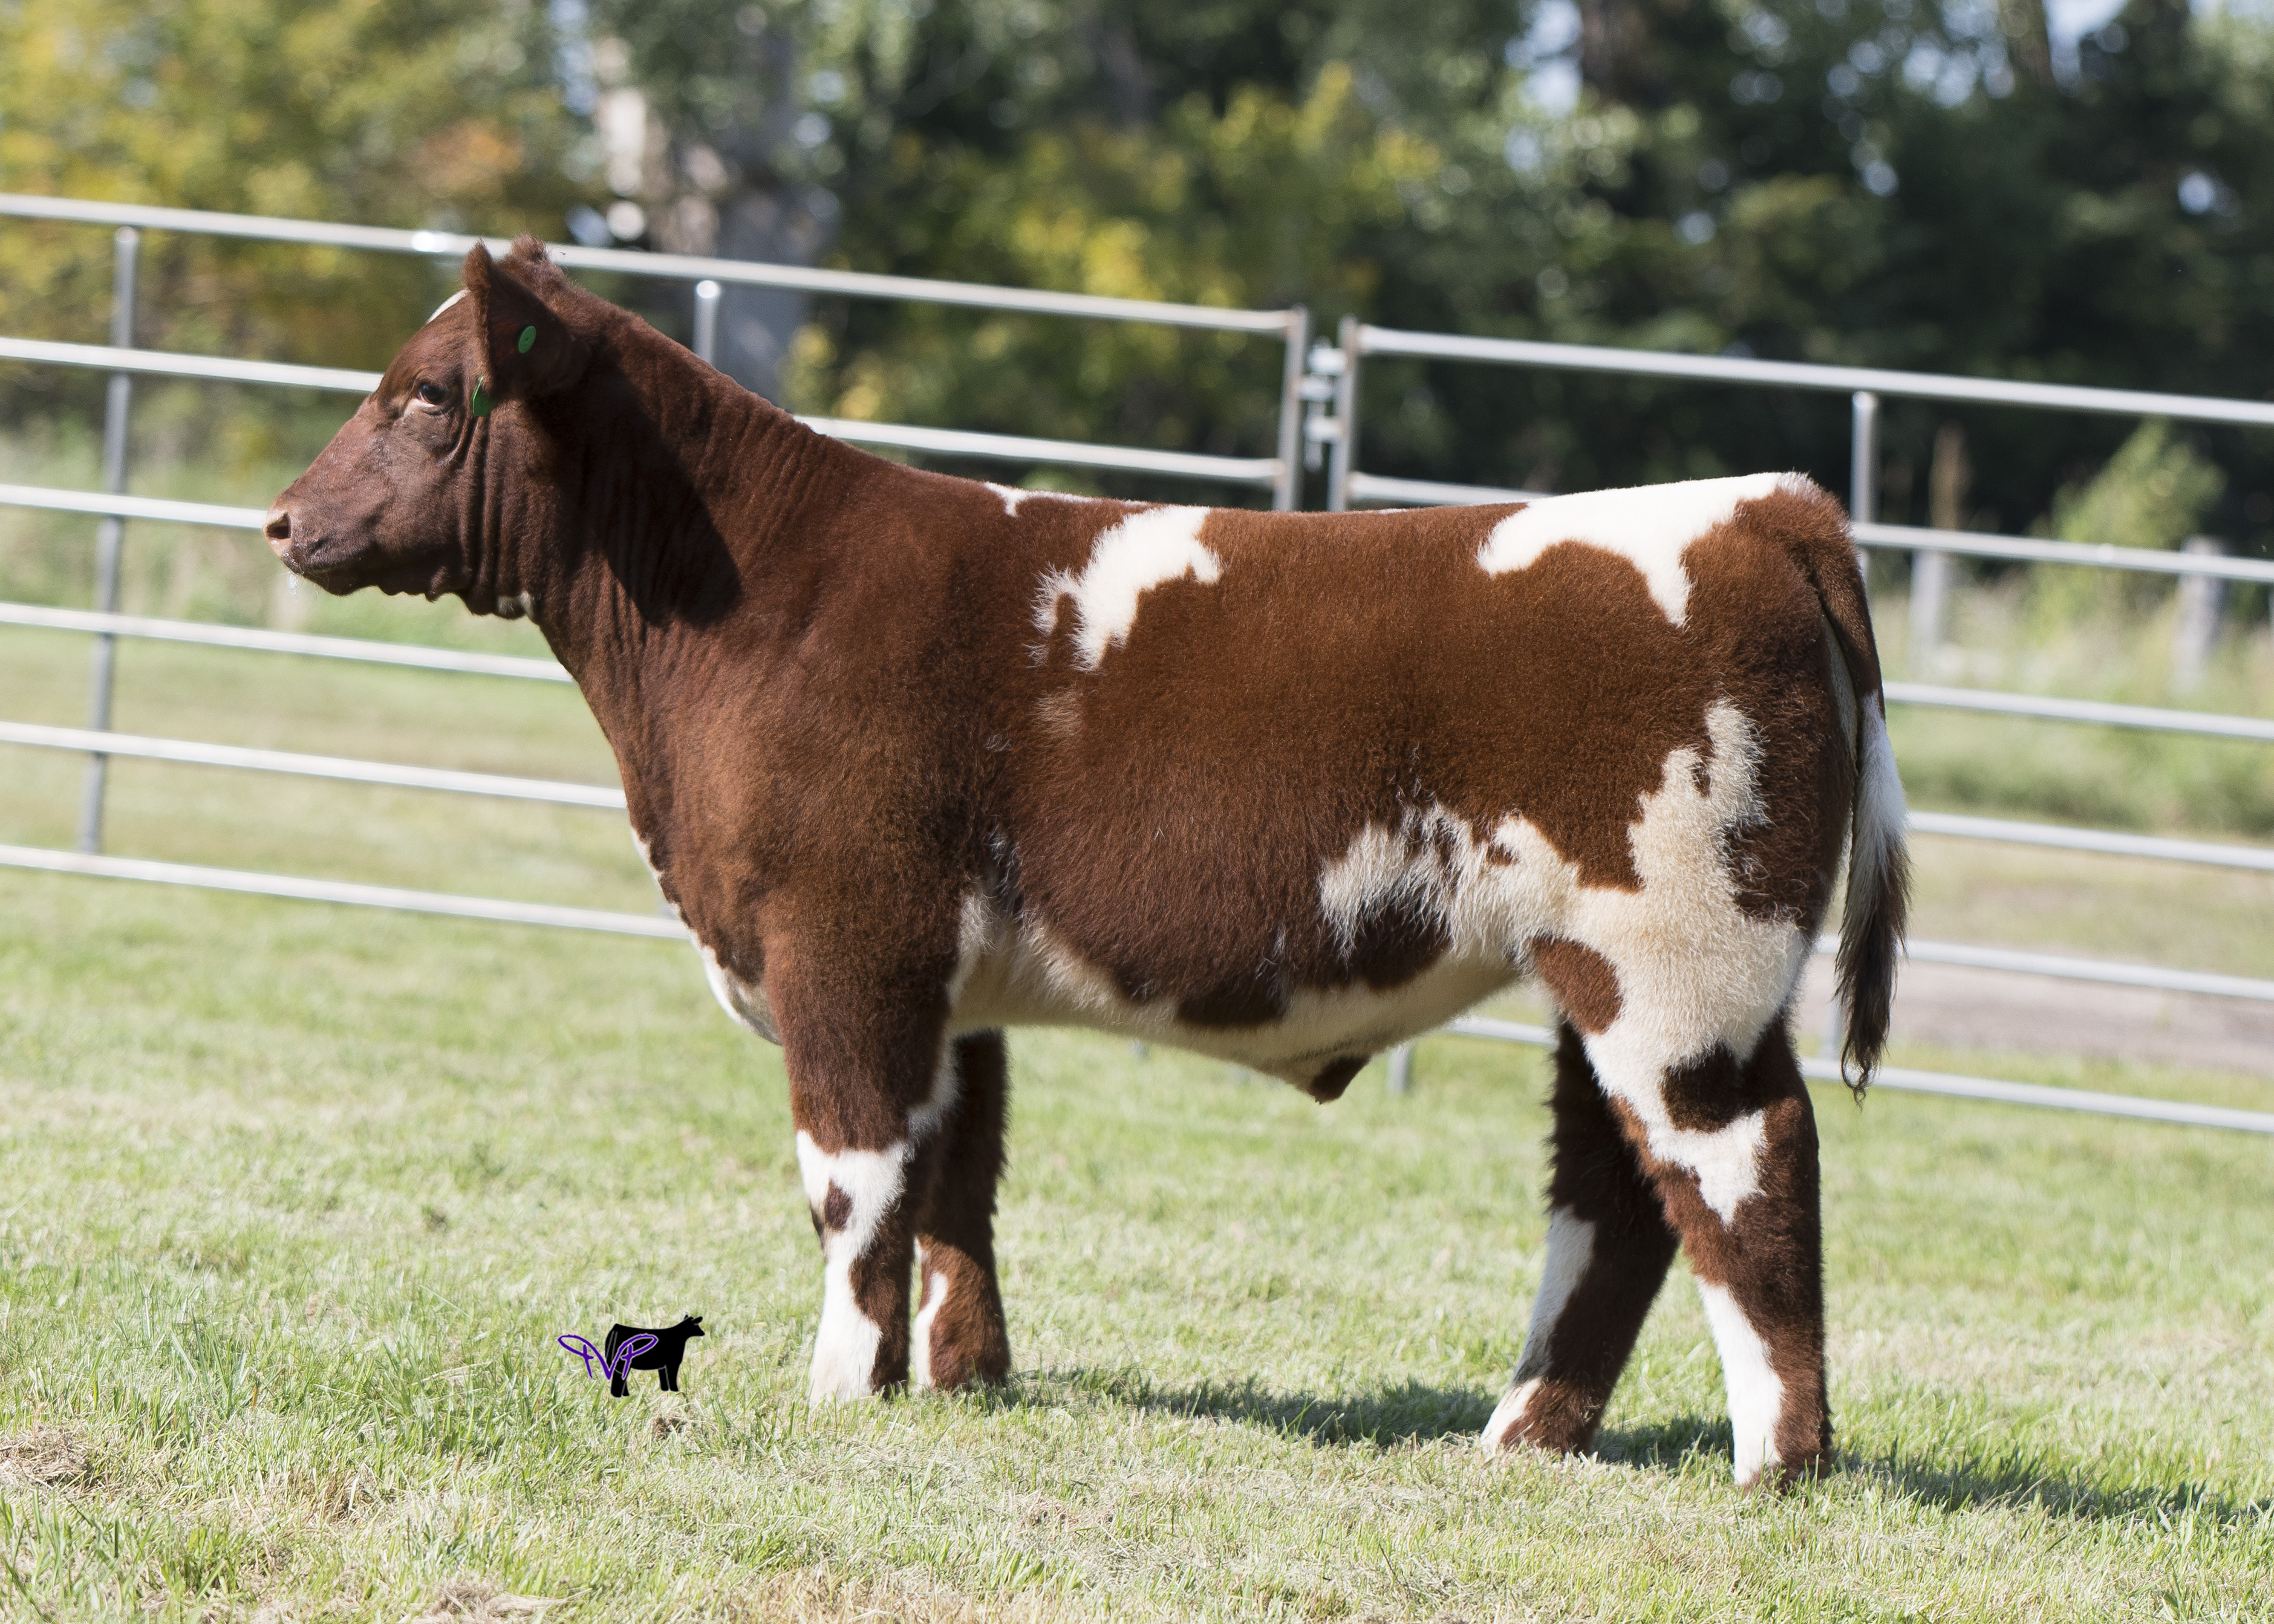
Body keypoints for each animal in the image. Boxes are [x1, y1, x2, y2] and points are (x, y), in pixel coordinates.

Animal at [266, 238, 1907, 1489]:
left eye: (426, 398)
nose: (282, 519)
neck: (756, 603)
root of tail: (1763, 503)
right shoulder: (943, 974)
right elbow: (954, 1177)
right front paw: (955, 1378)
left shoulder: (843, 937)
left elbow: (854, 1177)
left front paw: (835, 1387)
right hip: (1603, 975)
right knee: (1615, 1200)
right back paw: (1520, 1436)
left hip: (1675, 961)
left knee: (1745, 1163)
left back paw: (1778, 1460)